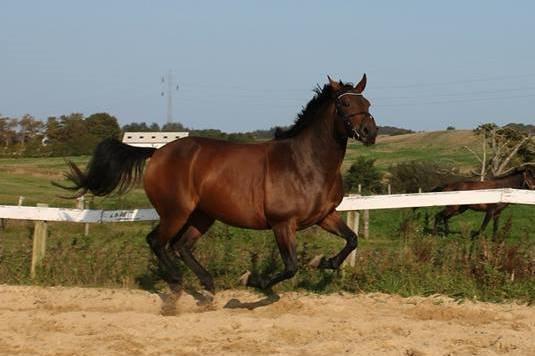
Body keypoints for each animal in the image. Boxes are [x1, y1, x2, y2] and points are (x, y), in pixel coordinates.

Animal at [56, 73, 378, 294]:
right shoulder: (282, 224)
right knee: (157, 242)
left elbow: (351, 240)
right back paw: (178, 282)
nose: (370, 132)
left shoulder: (324, 216)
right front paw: (253, 280)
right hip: (176, 212)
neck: (305, 163)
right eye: (345, 103)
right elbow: (290, 266)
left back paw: (207, 285)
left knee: (181, 246)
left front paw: (323, 263)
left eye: (367, 102)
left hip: (203, 215)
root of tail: (157, 152)